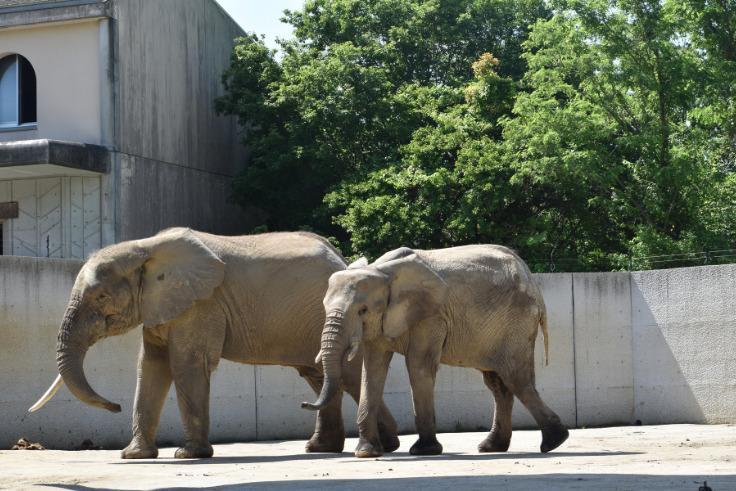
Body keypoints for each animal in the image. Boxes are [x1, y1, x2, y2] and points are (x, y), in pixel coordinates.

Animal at [28, 229, 396, 460]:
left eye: (101, 297)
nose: (114, 407)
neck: (146, 247)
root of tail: (341, 258)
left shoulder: (200, 304)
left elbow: (186, 364)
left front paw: (187, 455)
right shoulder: (162, 305)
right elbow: (151, 367)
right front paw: (134, 456)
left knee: (345, 373)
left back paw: (382, 446)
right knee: (317, 374)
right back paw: (325, 449)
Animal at [304, 248, 568, 460]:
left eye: (362, 310)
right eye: (324, 307)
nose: (304, 403)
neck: (382, 272)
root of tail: (532, 280)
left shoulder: (430, 316)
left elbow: (418, 367)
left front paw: (424, 451)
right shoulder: (381, 324)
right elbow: (372, 372)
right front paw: (366, 452)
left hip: (516, 322)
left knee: (516, 378)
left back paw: (554, 442)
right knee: (497, 383)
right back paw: (491, 447)